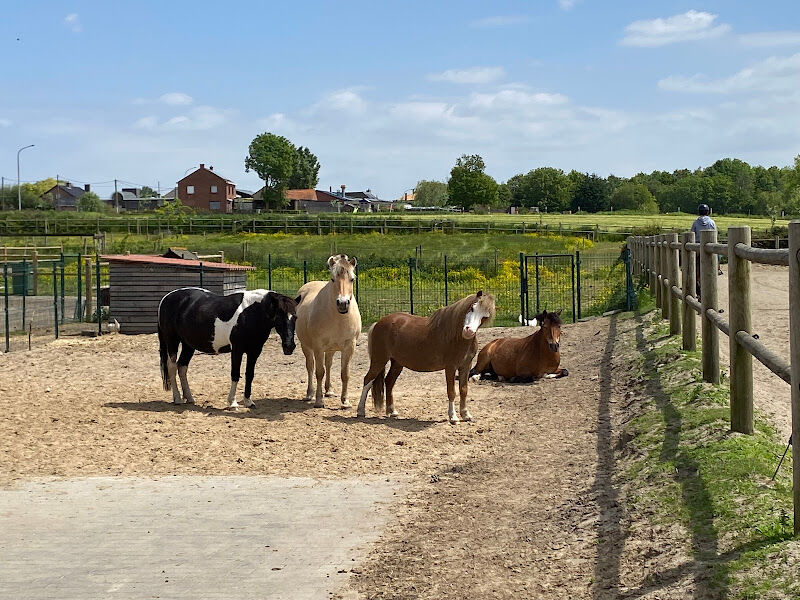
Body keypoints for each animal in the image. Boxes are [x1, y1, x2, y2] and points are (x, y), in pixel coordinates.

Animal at [158, 286, 298, 408]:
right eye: (279, 317)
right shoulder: (237, 349)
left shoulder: (254, 351)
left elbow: (249, 374)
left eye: (295, 317)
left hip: (188, 345)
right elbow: (235, 374)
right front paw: (232, 402)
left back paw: (189, 398)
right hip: (172, 341)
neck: (251, 312)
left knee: (182, 367)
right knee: (172, 367)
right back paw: (177, 398)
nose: (289, 346)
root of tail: (165, 298)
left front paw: (248, 402)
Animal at [296, 253, 360, 408]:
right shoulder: (318, 347)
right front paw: (319, 401)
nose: (343, 303)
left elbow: (345, 373)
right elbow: (319, 372)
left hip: (331, 349)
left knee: (329, 365)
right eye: (332, 279)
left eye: (352, 279)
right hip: (306, 346)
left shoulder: (349, 346)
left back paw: (329, 391)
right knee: (310, 367)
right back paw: (310, 394)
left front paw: (345, 401)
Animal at [356, 290, 494, 422]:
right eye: (472, 308)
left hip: (397, 363)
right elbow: (451, 392)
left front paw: (465, 415)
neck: (456, 337)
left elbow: (463, 390)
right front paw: (453, 417)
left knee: (389, 381)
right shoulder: (450, 367)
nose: (468, 331)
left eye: (485, 316)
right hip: (379, 360)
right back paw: (360, 411)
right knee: (367, 380)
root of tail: (378, 323)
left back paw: (392, 411)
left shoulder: (465, 366)